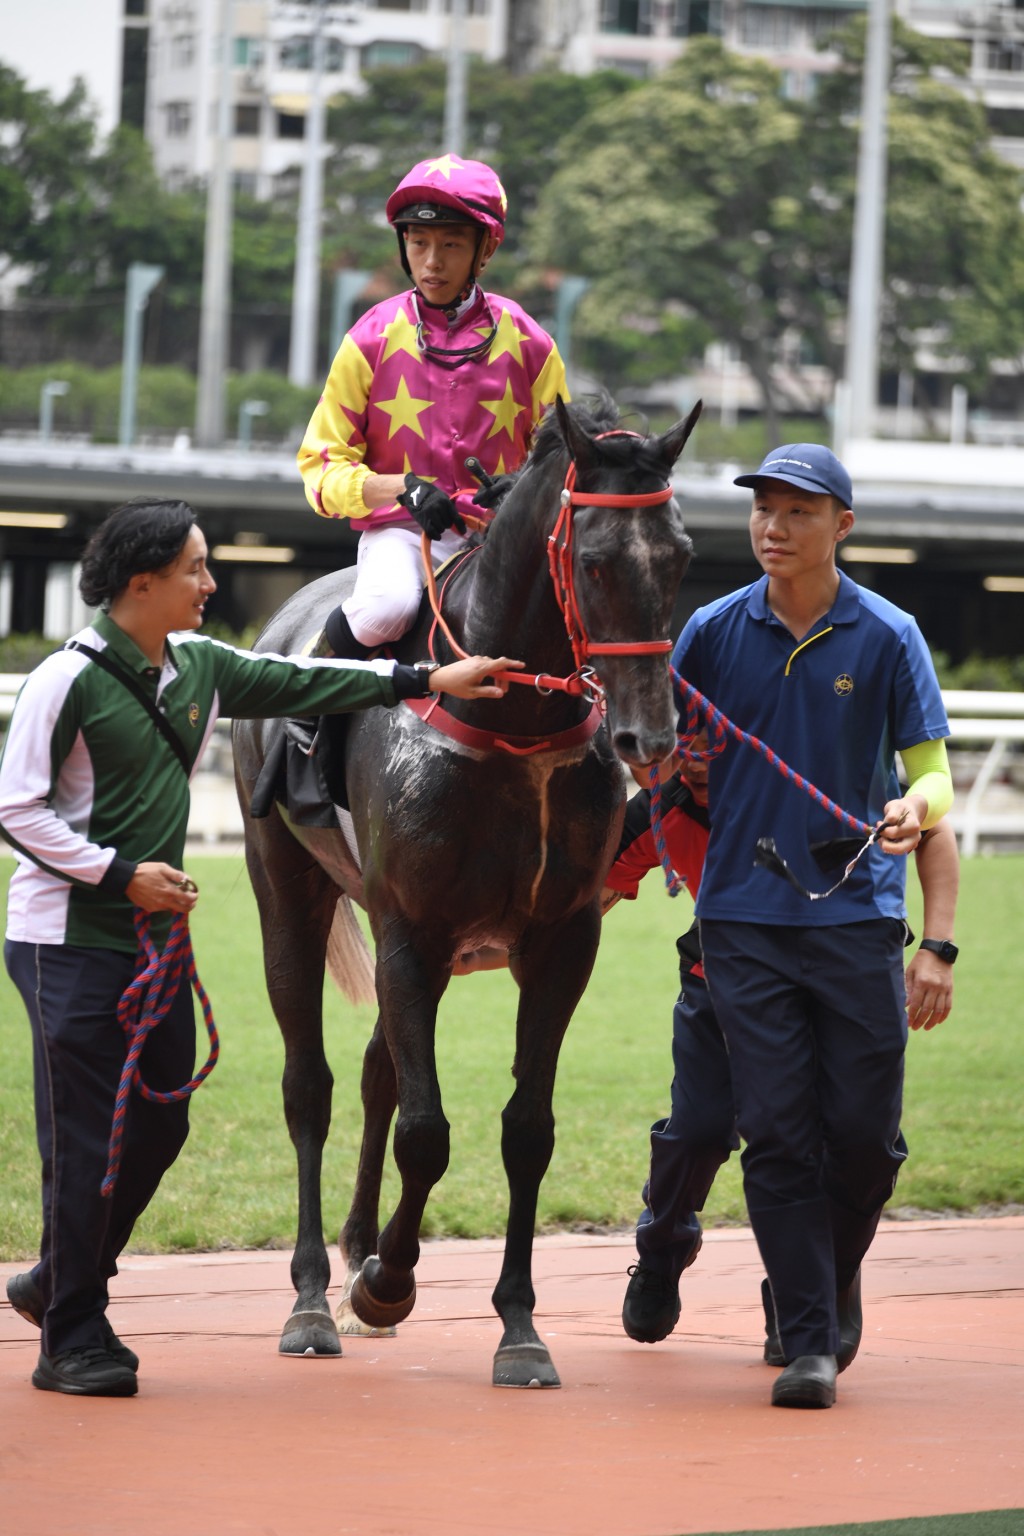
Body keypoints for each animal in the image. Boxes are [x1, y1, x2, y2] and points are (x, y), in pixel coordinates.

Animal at [234, 396, 696, 1394]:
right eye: (593, 560)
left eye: (680, 555)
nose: (648, 736)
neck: (510, 721)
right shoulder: (412, 929)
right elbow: (426, 1132)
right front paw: (386, 1283)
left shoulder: (558, 943)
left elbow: (525, 1130)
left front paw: (516, 1325)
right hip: (288, 884)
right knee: (310, 1084)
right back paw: (312, 1297)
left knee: (376, 1070)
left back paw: (356, 1250)